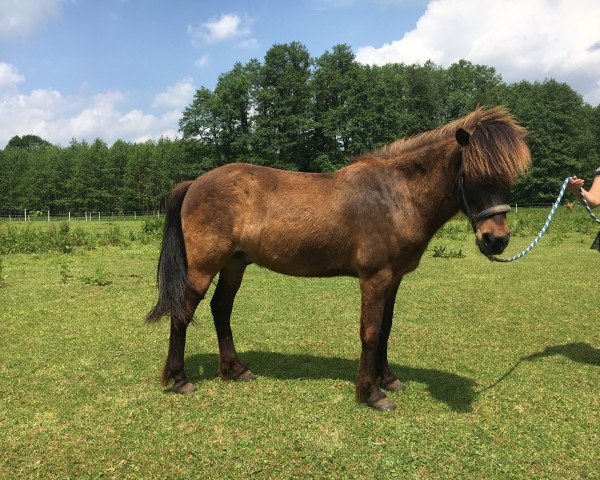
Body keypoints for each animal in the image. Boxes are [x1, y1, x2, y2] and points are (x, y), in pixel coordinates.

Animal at [146, 107, 528, 410]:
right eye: (473, 174)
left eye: (508, 177)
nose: (496, 240)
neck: (395, 195)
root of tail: (195, 183)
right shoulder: (375, 277)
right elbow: (370, 331)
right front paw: (371, 394)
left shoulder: (394, 278)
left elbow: (387, 327)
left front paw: (388, 378)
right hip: (203, 267)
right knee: (182, 312)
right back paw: (180, 379)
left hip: (235, 263)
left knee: (220, 309)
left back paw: (236, 370)